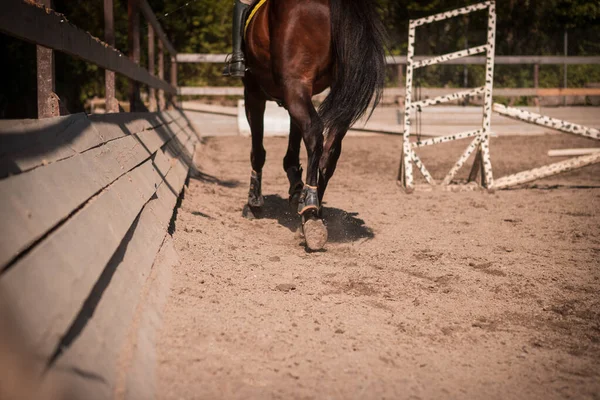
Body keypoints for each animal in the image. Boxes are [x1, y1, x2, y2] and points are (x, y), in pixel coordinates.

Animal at [241, 0, 386, 250]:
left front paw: (254, 202)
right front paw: (295, 186)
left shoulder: (254, 92)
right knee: (330, 149)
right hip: (338, 91)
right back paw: (314, 212)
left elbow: (258, 151)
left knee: (313, 133)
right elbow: (293, 141)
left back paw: (309, 213)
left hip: (294, 85)